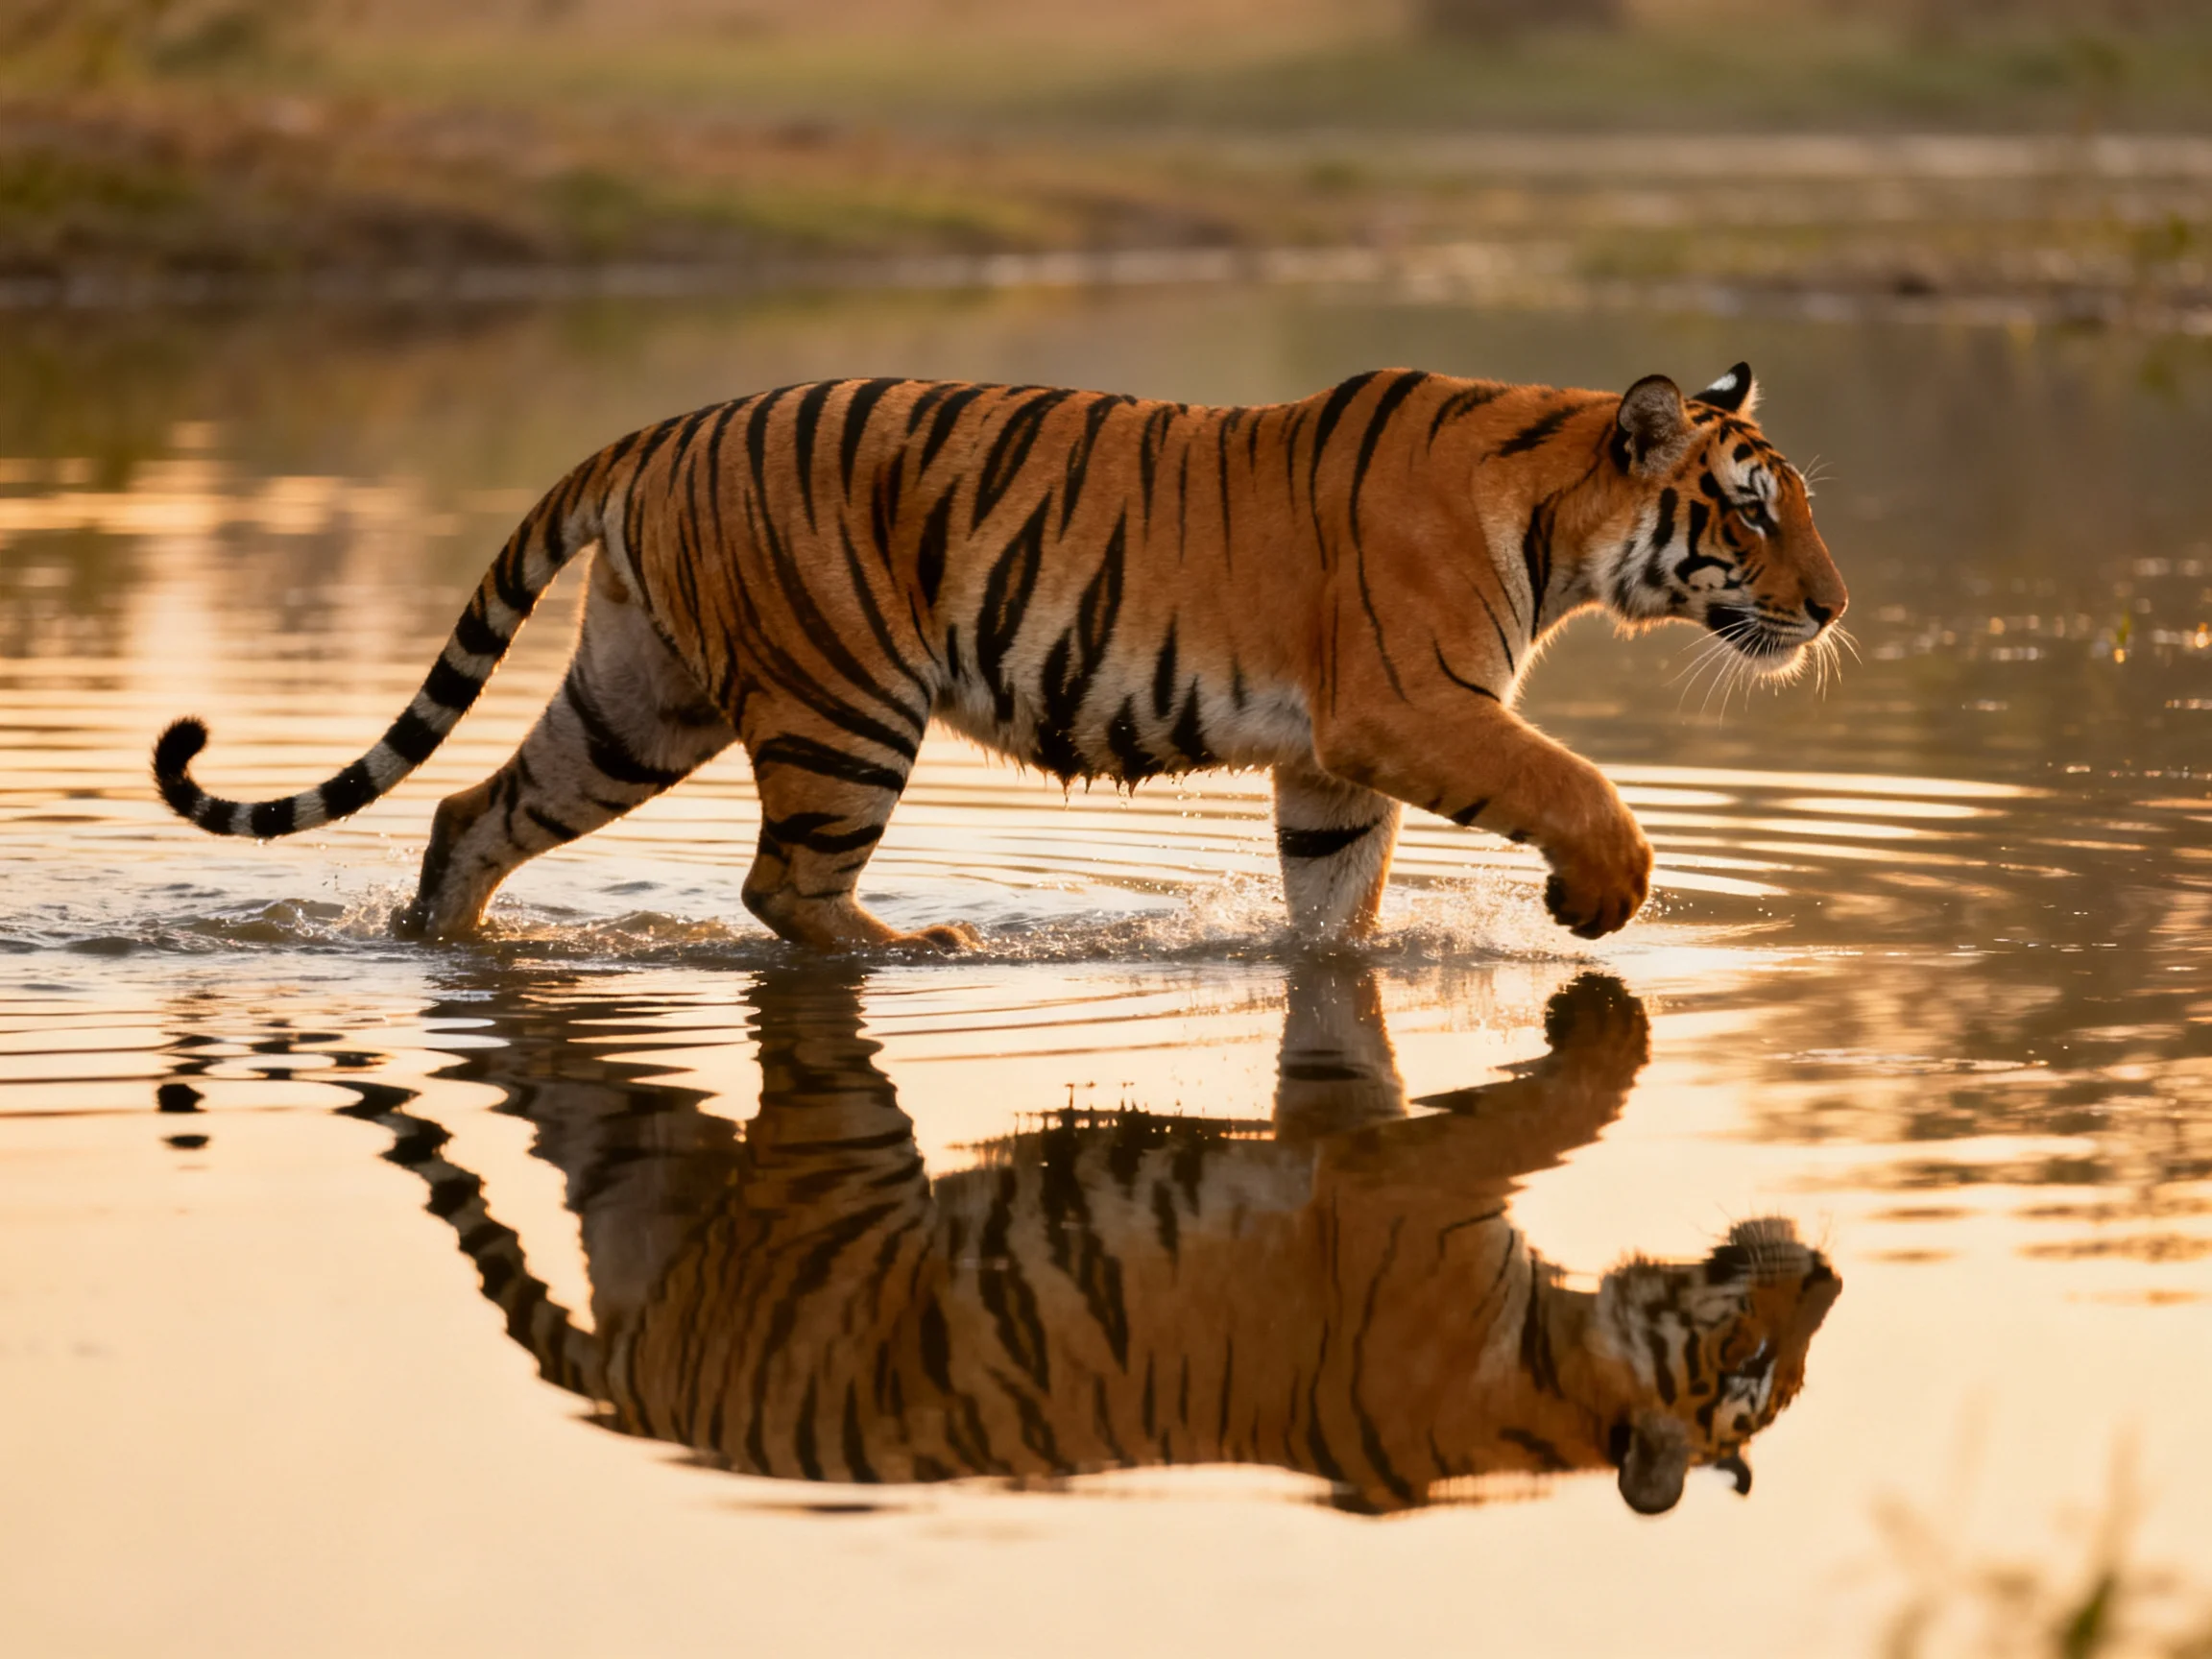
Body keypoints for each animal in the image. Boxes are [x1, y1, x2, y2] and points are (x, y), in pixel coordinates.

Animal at [152, 361, 1847, 950]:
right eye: (1755, 515)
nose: (1832, 610)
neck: (1557, 519)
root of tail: (664, 427)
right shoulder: (1408, 707)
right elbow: (1576, 783)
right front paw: (1601, 897)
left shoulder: (1332, 762)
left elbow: (1333, 902)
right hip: (844, 706)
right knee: (782, 889)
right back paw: (922, 951)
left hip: (638, 699)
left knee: (470, 812)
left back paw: (436, 942)